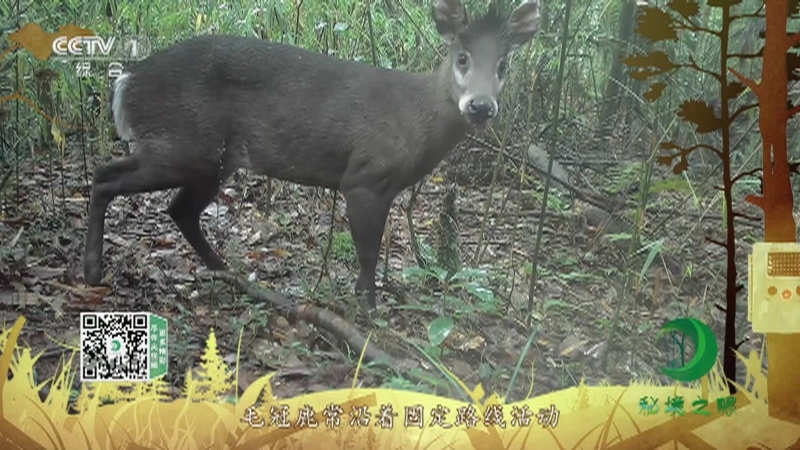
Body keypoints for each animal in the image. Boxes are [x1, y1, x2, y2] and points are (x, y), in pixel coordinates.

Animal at [82, 0, 541, 310]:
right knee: (105, 177)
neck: (417, 119)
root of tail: (126, 81)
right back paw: (91, 271)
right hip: (182, 144)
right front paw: (368, 309)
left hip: (210, 160)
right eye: (462, 58)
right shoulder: (364, 177)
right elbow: (368, 250)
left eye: (503, 65)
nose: (480, 106)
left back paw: (227, 271)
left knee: (180, 209)